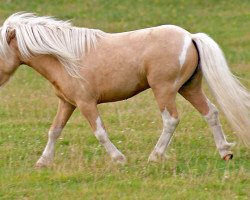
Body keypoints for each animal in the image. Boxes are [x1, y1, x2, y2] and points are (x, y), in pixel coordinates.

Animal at [0, 12, 249, 167]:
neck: (66, 58)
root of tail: (190, 37)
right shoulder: (67, 103)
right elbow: (54, 131)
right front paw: (43, 162)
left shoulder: (86, 103)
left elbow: (100, 132)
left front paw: (119, 159)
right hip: (189, 88)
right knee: (211, 113)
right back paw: (225, 152)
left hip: (164, 90)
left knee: (171, 120)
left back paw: (155, 157)